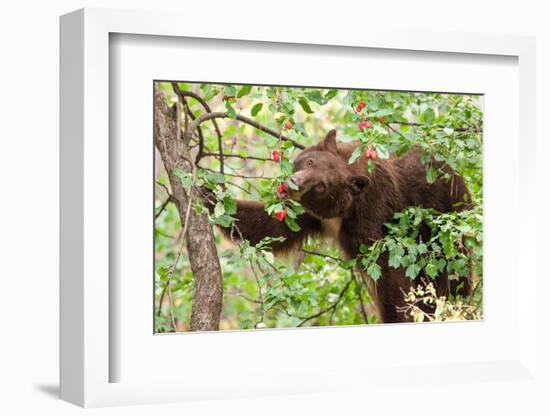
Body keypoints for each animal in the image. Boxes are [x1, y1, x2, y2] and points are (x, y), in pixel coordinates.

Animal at [207, 129, 474, 322]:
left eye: (321, 186)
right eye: (309, 162)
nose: (293, 184)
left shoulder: (373, 211)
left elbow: (387, 269)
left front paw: (395, 316)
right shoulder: (311, 215)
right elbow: (273, 227)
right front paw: (209, 195)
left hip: (446, 225)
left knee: (452, 276)